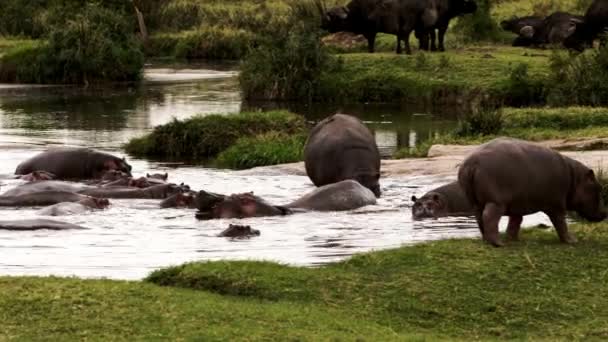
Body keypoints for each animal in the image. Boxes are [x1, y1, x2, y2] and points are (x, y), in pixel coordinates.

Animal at [458, 138, 604, 247]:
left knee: (479, 217)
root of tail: (472, 163)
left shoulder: (517, 203)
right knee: (489, 216)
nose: (605, 213)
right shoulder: (556, 205)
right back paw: (498, 244)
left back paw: (486, 240)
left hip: (476, 202)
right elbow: (560, 223)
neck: (575, 178)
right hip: (496, 202)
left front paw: (513, 239)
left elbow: (516, 221)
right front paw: (572, 241)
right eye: (599, 187)